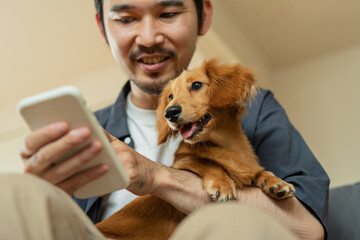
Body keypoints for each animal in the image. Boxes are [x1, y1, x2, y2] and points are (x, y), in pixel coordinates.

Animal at [95, 59, 296, 239]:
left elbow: (260, 172)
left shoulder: (247, 167)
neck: (224, 145)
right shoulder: (181, 165)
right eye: (170, 97)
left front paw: (276, 182)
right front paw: (222, 184)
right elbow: (208, 163)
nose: (170, 113)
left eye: (197, 85)